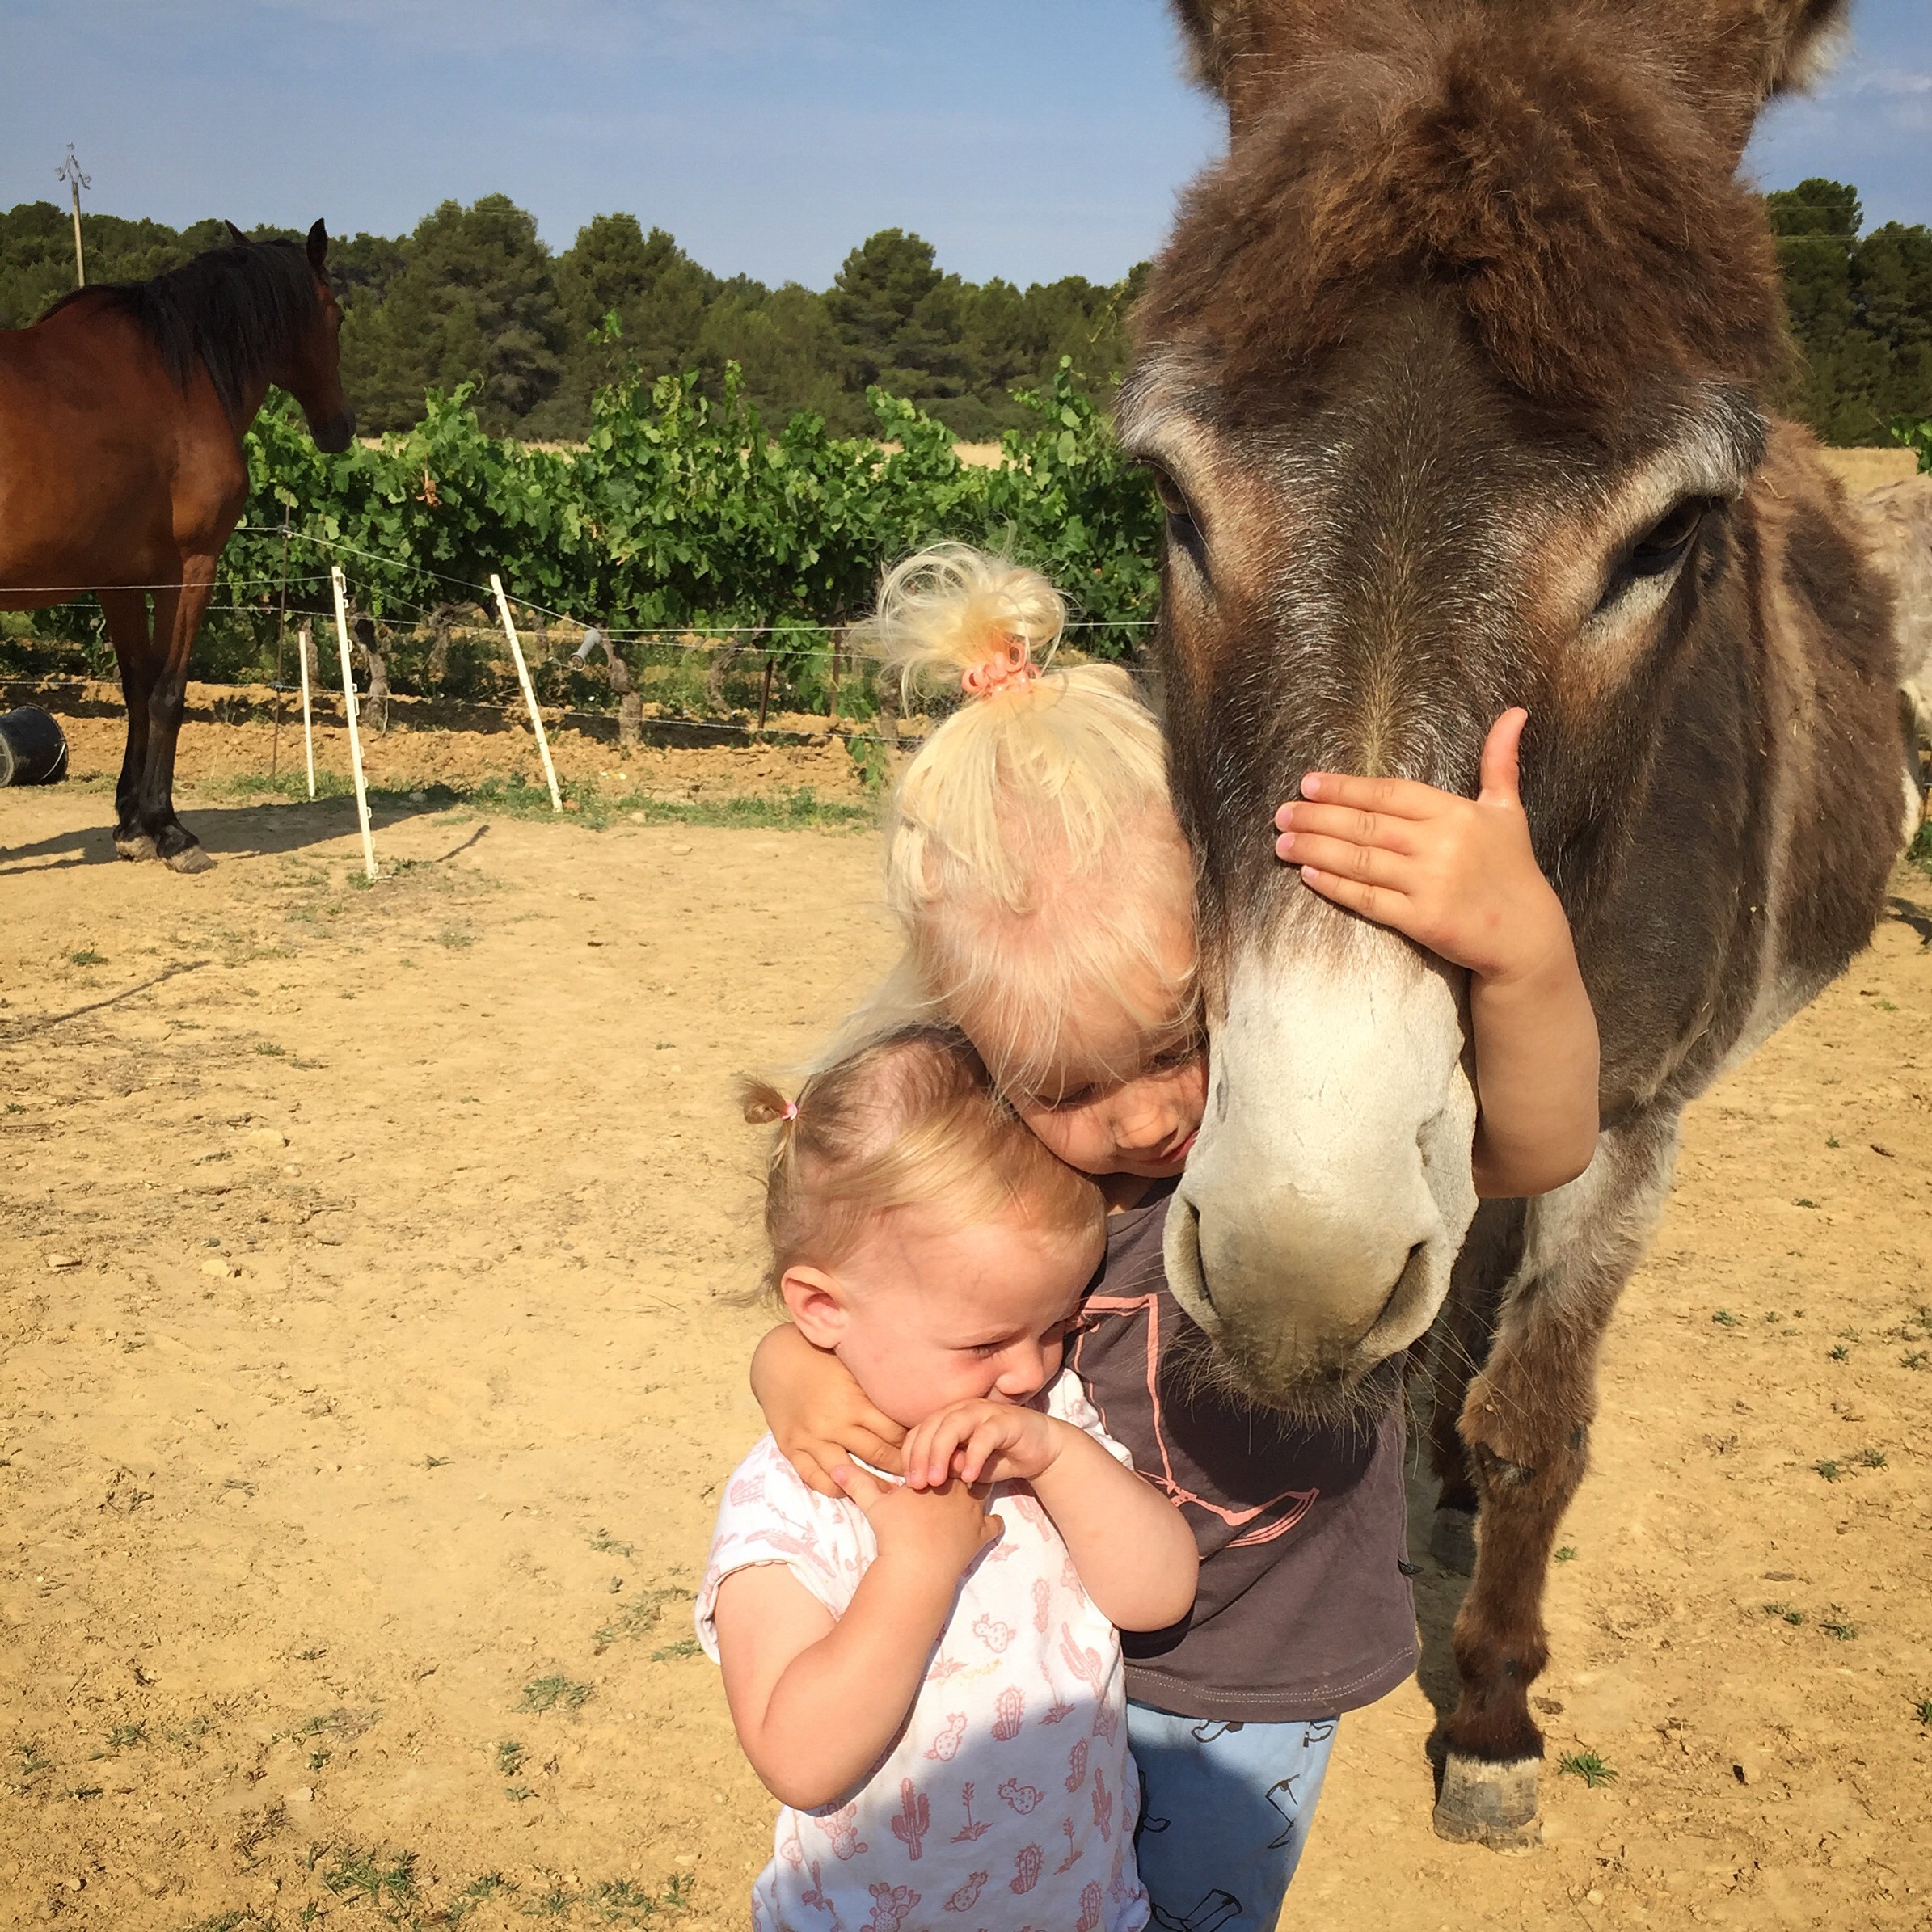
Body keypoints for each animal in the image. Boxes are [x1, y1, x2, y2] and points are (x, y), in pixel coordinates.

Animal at [0, 221, 353, 872]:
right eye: (337, 316)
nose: (340, 429)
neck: (181, 375)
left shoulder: (120, 579)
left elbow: (138, 688)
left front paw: (132, 824)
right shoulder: (190, 566)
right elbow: (169, 692)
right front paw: (169, 830)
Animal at [1122, 0, 1907, 1849]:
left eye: (1672, 536)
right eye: (1169, 500)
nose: (1296, 1267)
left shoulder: (1634, 1116)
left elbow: (1544, 1415)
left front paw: (1489, 1719)